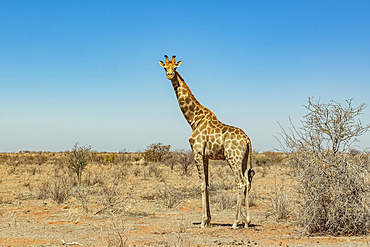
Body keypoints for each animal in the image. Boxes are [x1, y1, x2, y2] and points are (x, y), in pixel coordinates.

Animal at [159, 55, 254, 229]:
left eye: (175, 67)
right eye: (164, 67)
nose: (169, 74)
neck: (194, 119)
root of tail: (248, 139)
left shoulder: (196, 152)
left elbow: (202, 184)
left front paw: (203, 221)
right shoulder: (206, 156)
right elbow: (208, 184)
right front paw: (209, 220)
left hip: (233, 158)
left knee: (240, 183)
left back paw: (235, 222)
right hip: (244, 160)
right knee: (247, 183)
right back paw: (247, 222)